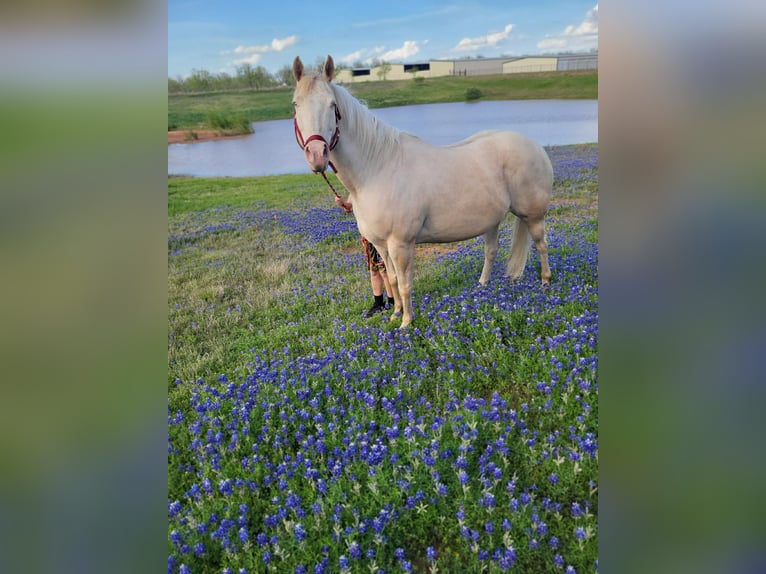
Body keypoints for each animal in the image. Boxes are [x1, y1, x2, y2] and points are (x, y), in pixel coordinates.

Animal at [292, 55, 553, 328]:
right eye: (296, 105)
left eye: (332, 105)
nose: (317, 155)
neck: (377, 169)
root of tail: (535, 146)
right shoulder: (381, 246)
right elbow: (392, 280)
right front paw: (395, 314)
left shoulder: (401, 245)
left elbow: (405, 284)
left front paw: (406, 322)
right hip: (491, 221)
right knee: (491, 251)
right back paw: (482, 285)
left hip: (533, 216)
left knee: (541, 244)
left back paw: (545, 281)